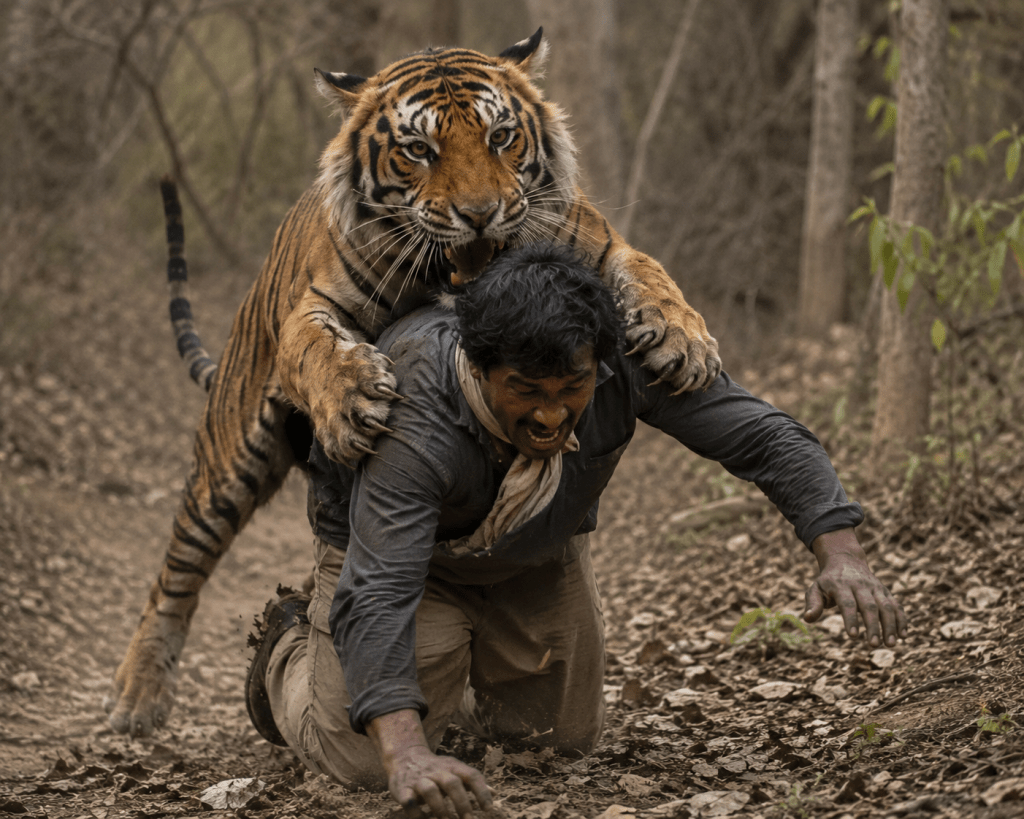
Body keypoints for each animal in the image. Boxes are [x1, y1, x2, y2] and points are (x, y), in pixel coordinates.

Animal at [107, 28, 721, 738]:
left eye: (501, 137)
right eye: (419, 150)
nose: (480, 215)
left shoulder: (597, 250)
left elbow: (649, 271)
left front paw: (683, 339)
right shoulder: (313, 307)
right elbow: (316, 349)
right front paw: (351, 399)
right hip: (229, 456)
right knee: (177, 571)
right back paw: (136, 697)